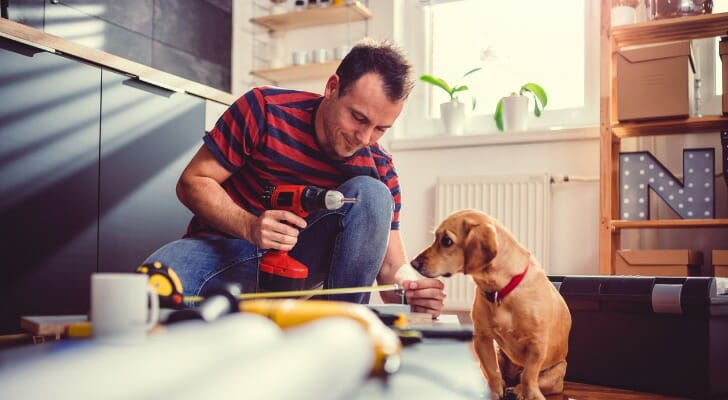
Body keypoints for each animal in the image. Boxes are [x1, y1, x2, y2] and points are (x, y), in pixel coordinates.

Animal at [412, 209, 572, 400]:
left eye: (446, 241)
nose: (413, 263)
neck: (500, 291)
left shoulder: (537, 345)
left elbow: (528, 375)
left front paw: (529, 394)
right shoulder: (483, 338)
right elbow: (492, 372)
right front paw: (494, 393)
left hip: (555, 374)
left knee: (526, 379)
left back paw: (518, 390)